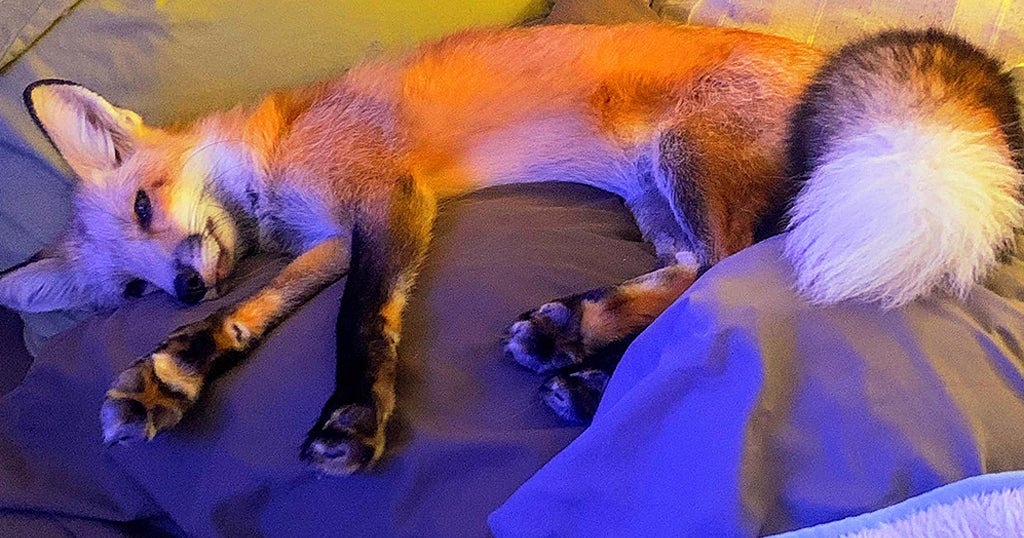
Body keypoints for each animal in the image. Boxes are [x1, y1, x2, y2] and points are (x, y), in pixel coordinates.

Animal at [0, 23, 1021, 476]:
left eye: (144, 203)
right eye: (130, 290)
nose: (177, 285)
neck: (277, 158)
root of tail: (818, 52)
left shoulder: (387, 200)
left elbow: (360, 321)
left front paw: (352, 417)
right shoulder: (331, 239)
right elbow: (254, 308)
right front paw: (173, 368)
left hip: (692, 167)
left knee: (743, 271)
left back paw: (593, 376)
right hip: (655, 199)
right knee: (696, 274)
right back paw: (575, 332)